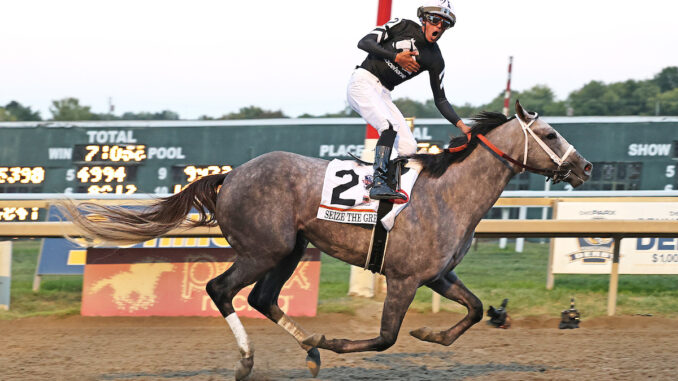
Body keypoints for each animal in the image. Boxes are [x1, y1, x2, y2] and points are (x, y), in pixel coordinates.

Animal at [62, 101, 588, 378]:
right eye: (550, 133)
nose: (584, 167)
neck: (447, 193)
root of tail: (230, 175)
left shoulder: (436, 275)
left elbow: (475, 309)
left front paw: (431, 334)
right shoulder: (403, 279)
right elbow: (384, 337)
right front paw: (334, 340)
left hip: (290, 249)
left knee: (262, 297)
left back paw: (309, 351)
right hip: (264, 249)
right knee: (221, 289)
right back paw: (250, 359)